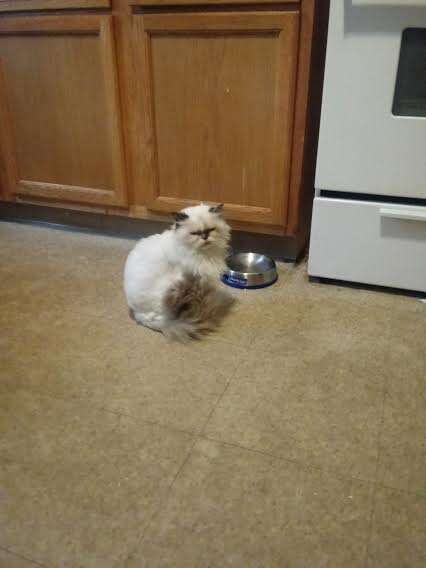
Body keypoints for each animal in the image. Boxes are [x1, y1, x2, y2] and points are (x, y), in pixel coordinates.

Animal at [124, 203, 233, 340]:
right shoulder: (198, 276)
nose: (205, 237)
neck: (204, 255)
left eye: (211, 230)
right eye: (195, 233)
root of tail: (139, 316)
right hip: (176, 287)